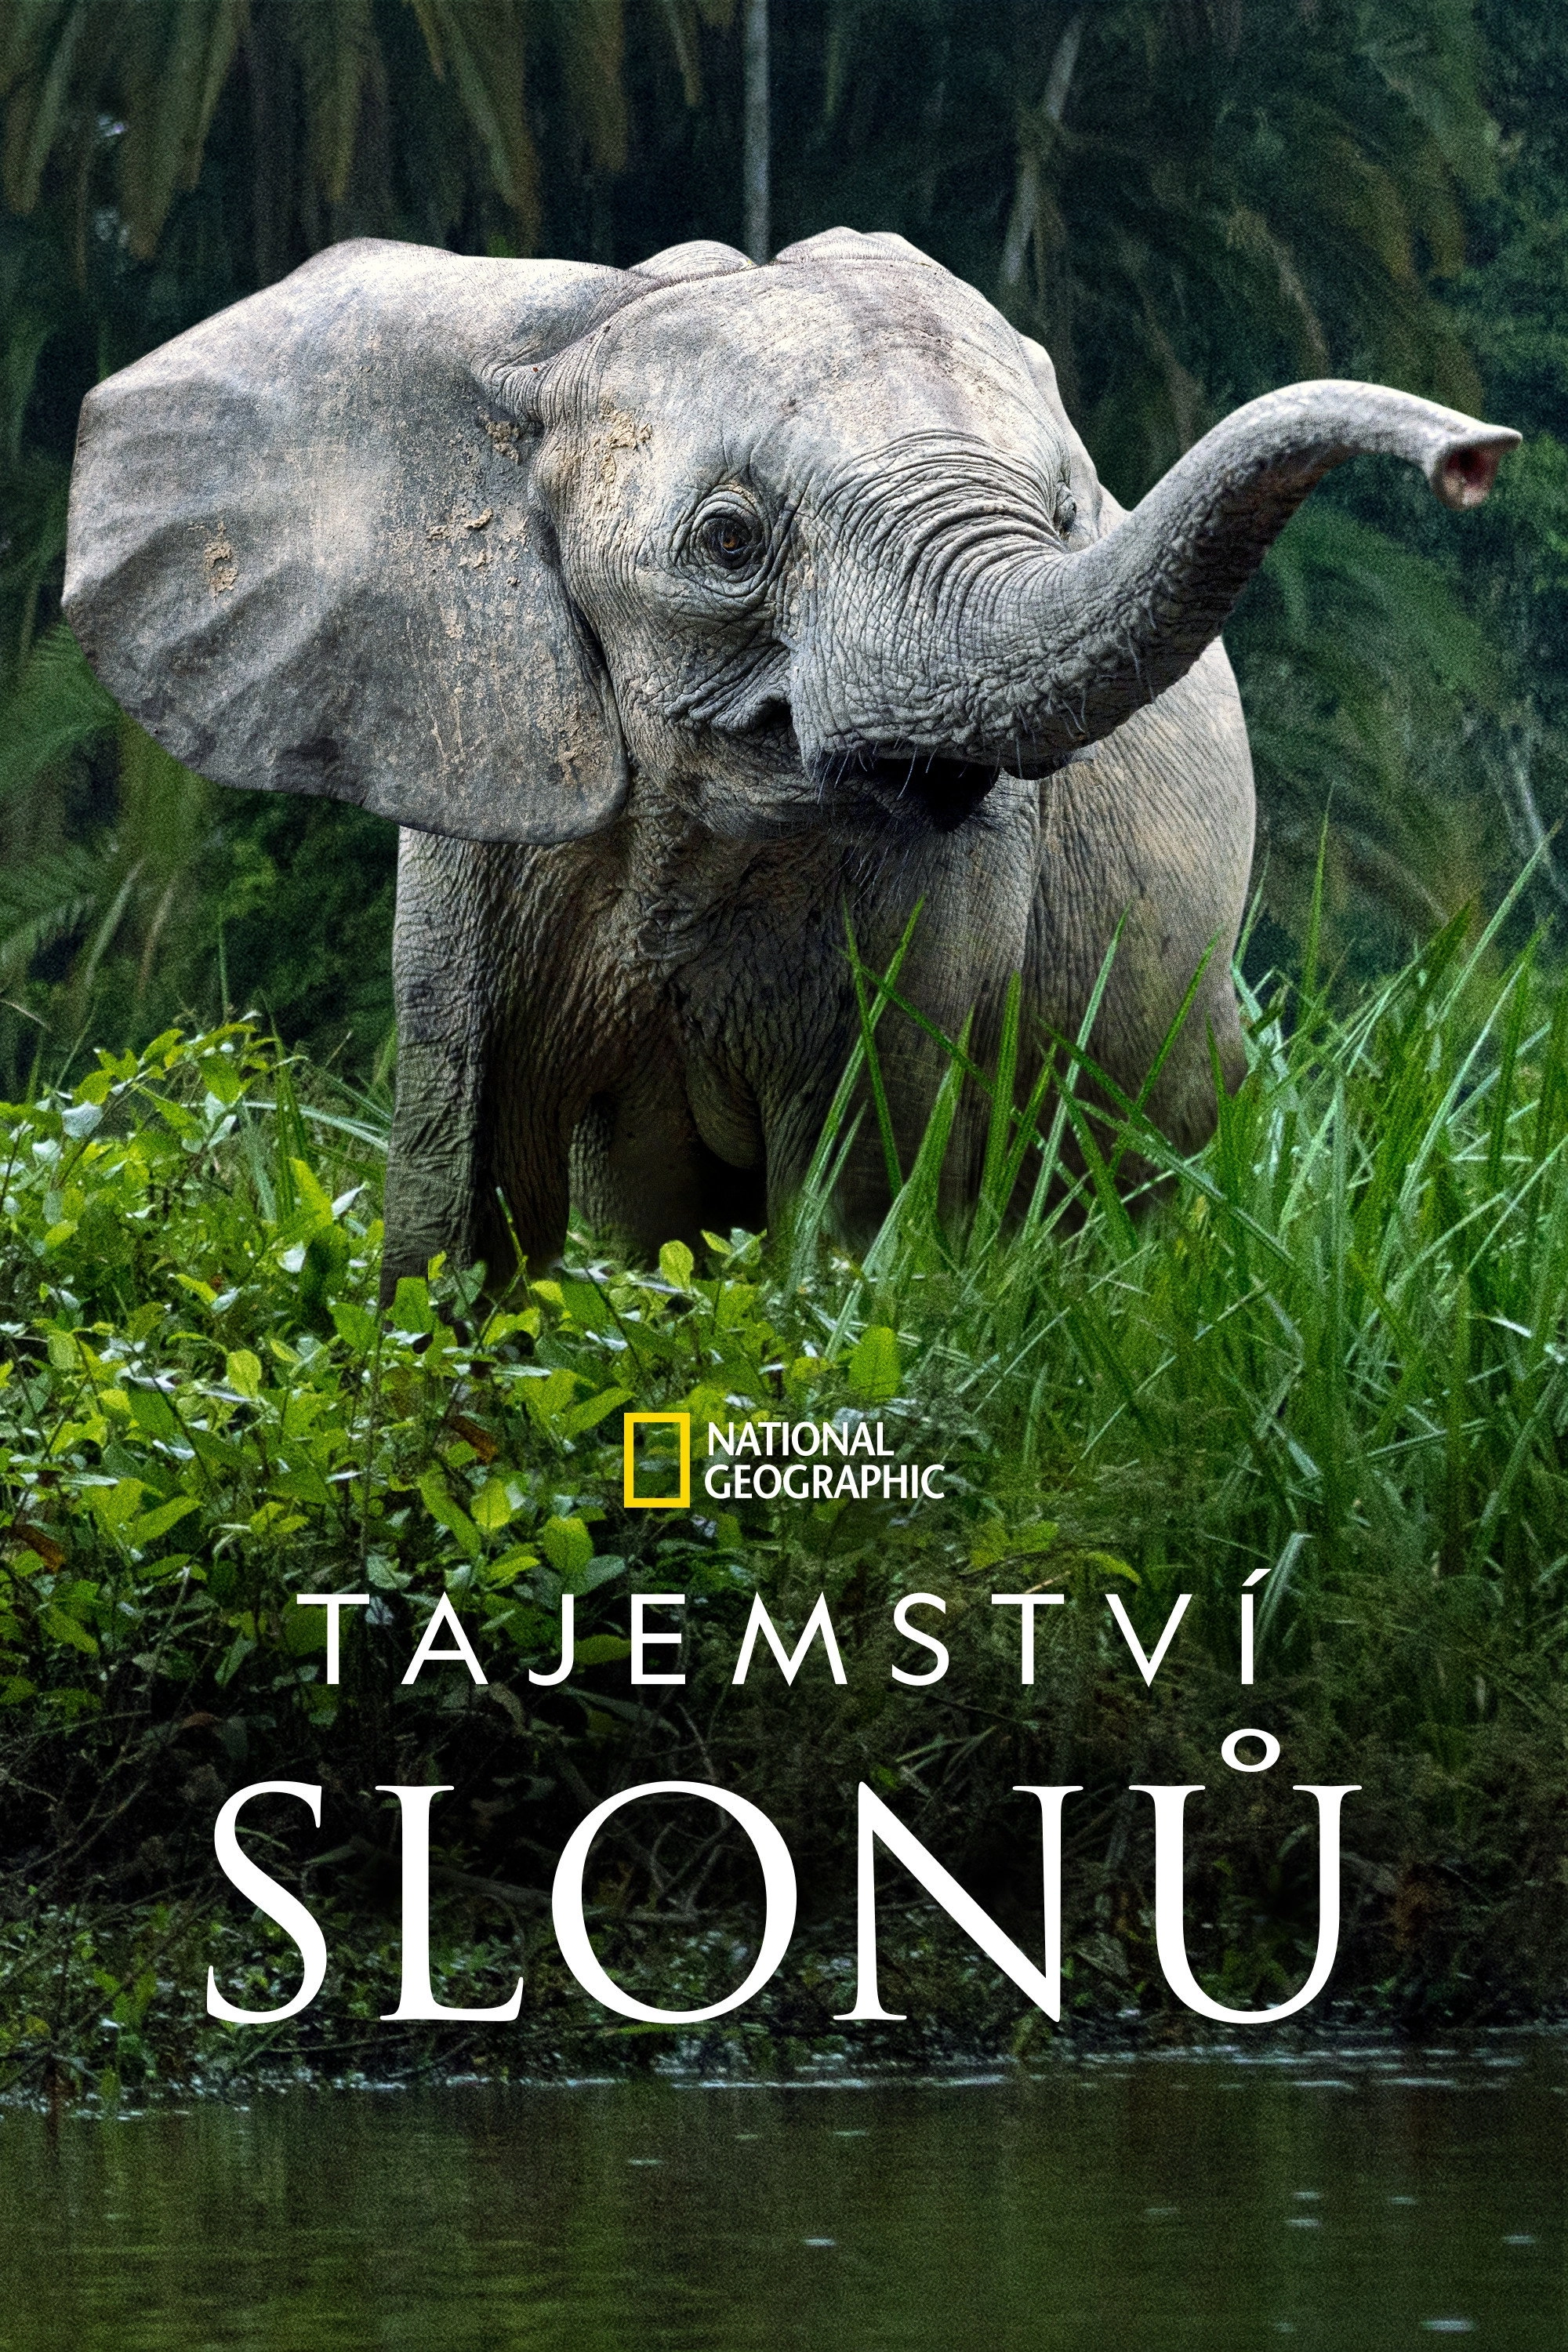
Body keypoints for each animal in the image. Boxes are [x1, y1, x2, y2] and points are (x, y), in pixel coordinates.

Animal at [62, 228, 1516, 1291]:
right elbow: (467, 1190)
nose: (1476, 458)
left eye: (1067, 518)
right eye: (729, 541)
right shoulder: (479, 786)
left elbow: (855, 1188)